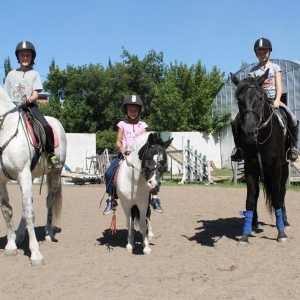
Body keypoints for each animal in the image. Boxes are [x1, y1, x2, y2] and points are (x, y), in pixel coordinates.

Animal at [0, 86, 66, 264]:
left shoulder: (23, 175)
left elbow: (29, 214)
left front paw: (36, 254)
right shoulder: (1, 181)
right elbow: (7, 211)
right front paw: (10, 246)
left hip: (55, 173)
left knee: (49, 202)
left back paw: (49, 234)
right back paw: (19, 237)